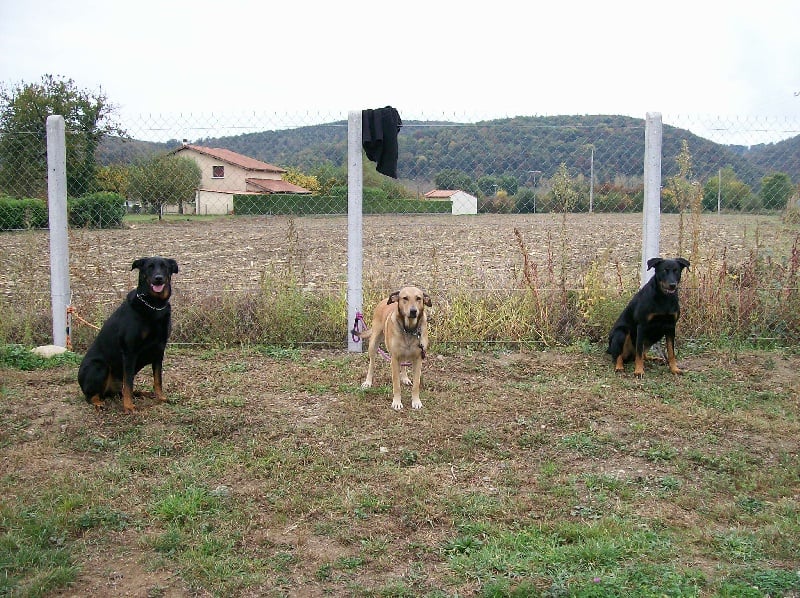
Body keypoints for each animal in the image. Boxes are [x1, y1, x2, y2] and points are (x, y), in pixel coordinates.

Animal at [77, 255, 178, 414]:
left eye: (165, 267)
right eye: (149, 267)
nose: (158, 278)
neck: (154, 305)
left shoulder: (159, 349)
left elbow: (157, 379)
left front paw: (161, 397)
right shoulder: (130, 351)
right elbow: (129, 383)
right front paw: (129, 406)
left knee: (120, 391)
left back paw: (143, 393)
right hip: (99, 367)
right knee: (92, 396)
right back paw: (99, 403)